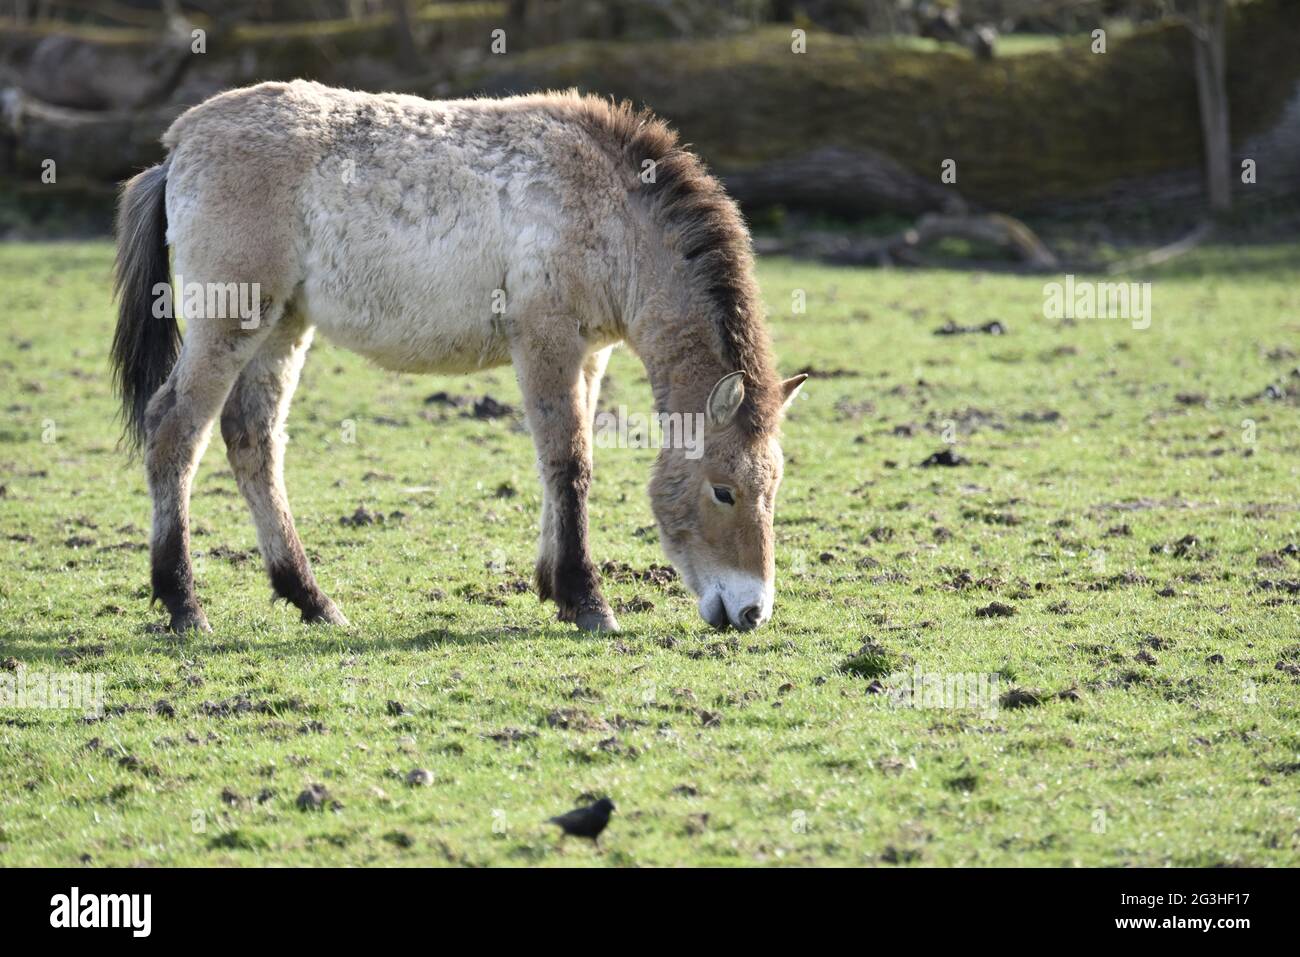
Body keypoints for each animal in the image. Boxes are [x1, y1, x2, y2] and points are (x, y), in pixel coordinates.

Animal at [111, 80, 806, 635]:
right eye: (723, 491)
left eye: (772, 488)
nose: (751, 612)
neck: (610, 206)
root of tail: (178, 147)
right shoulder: (546, 339)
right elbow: (568, 463)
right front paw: (588, 603)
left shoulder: (589, 353)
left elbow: (566, 463)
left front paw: (555, 587)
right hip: (230, 320)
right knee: (175, 431)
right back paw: (184, 605)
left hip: (282, 323)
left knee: (251, 438)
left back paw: (311, 600)